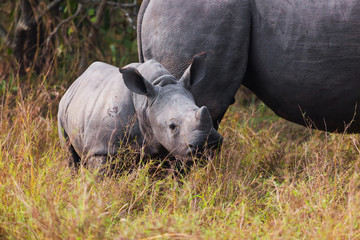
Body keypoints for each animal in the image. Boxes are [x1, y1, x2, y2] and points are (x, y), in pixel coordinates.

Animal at [57, 53, 222, 170]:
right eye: (172, 126)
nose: (207, 143)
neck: (145, 102)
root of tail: (76, 81)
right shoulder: (101, 149)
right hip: (61, 110)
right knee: (70, 155)